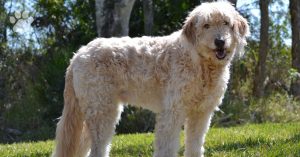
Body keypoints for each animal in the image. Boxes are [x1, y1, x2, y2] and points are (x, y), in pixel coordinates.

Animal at [52, 1, 250, 157]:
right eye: (206, 25)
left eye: (226, 23)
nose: (220, 41)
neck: (199, 62)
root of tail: (78, 54)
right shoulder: (172, 111)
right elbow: (167, 147)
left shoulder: (201, 113)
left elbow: (195, 145)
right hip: (102, 110)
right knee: (97, 149)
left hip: (93, 110)